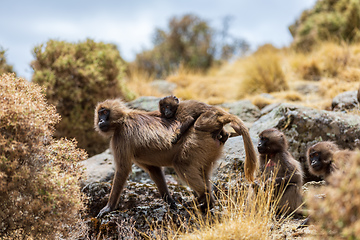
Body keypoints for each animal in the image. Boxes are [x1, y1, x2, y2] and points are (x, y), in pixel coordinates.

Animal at [94, 98, 258, 217]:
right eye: (100, 113)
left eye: (104, 112)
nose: (100, 121)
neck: (122, 120)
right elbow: (154, 170)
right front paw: (170, 202)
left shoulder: (120, 138)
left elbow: (122, 170)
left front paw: (109, 208)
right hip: (208, 148)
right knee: (203, 172)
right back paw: (208, 204)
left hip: (195, 139)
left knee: (182, 165)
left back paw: (204, 198)